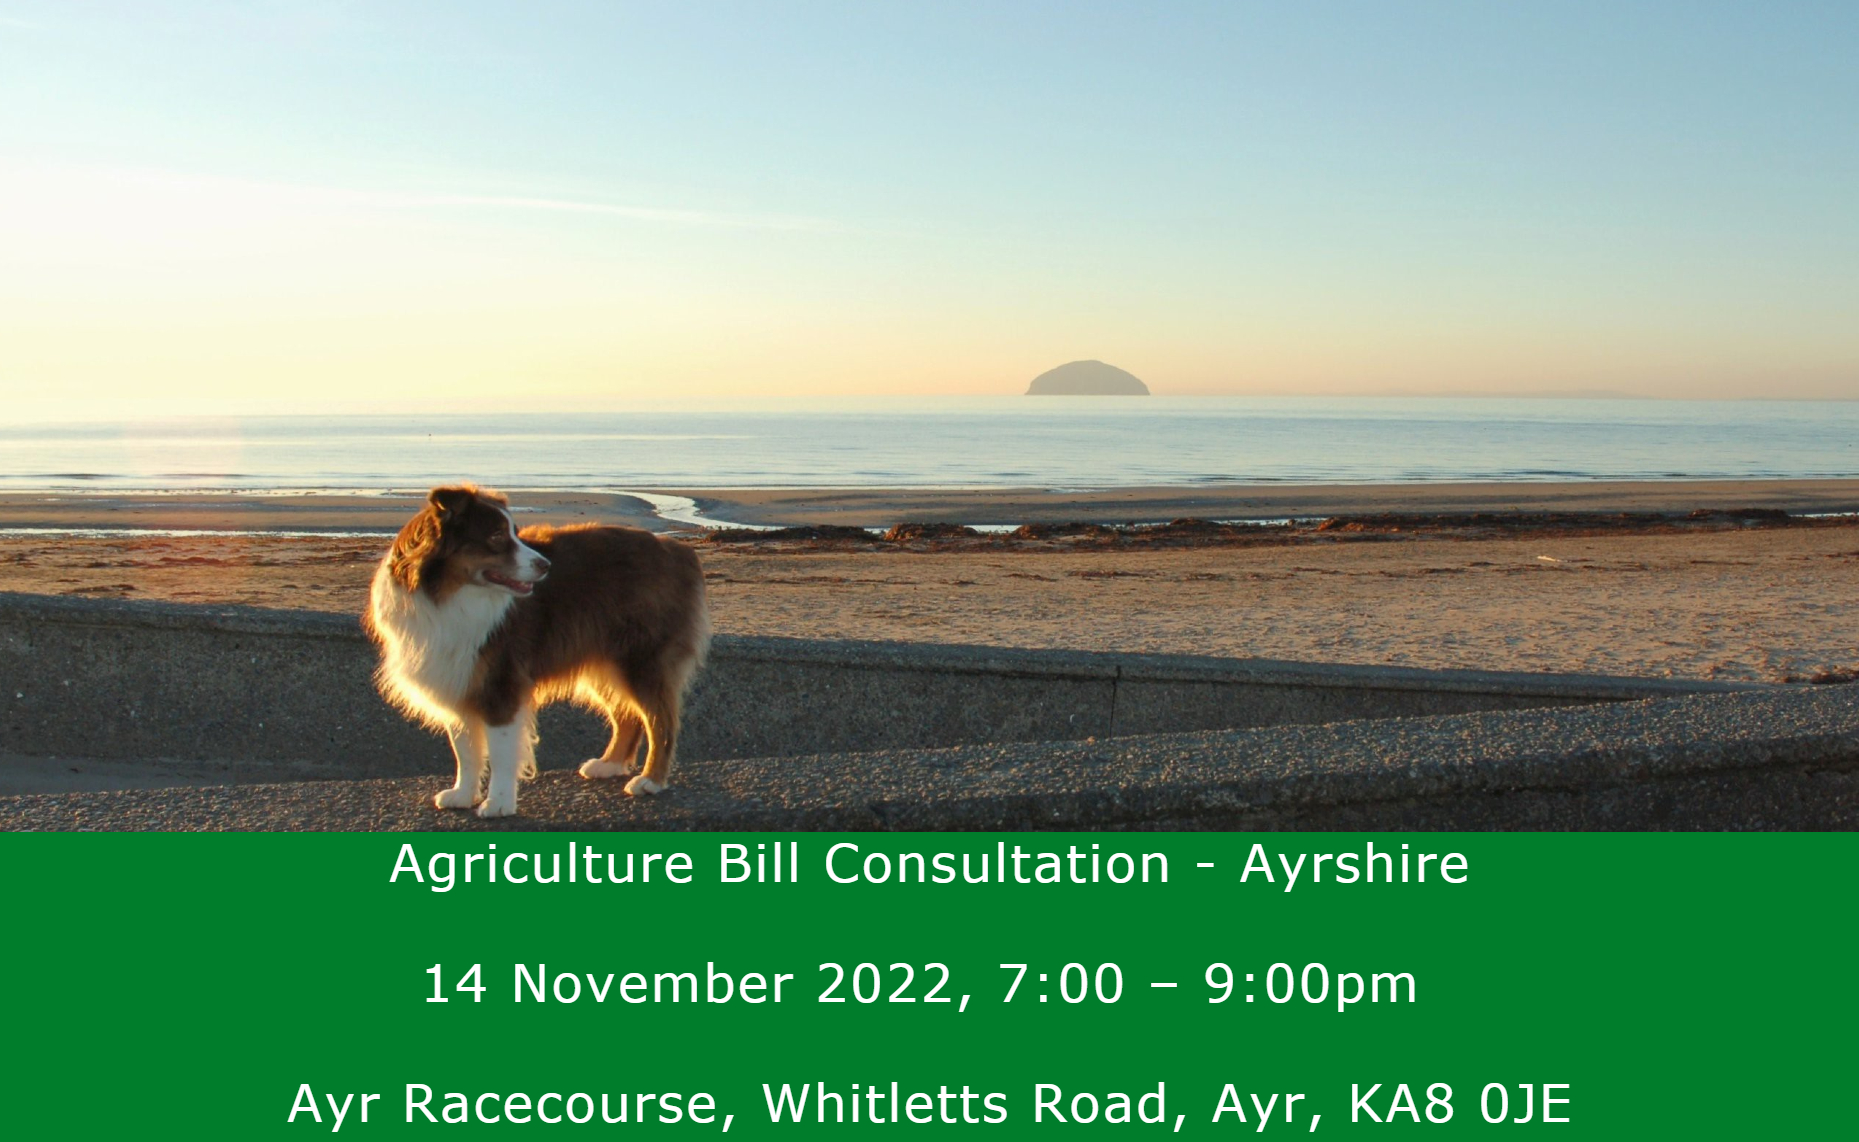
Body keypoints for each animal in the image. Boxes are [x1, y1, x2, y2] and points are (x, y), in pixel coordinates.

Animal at [368, 487, 710, 818]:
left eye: (515, 533)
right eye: (496, 536)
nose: (546, 565)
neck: (448, 595)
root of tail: (678, 550)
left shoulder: (500, 681)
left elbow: (501, 751)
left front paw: (499, 803)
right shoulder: (458, 674)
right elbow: (464, 747)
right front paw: (463, 794)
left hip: (640, 660)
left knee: (661, 720)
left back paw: (651, 780)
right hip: (604, 660)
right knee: (628, 715)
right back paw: (609, 764)